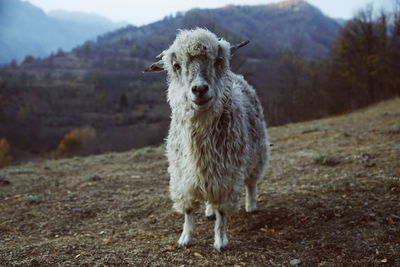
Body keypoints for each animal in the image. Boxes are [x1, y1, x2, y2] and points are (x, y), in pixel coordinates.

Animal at [145, 28, 270, 252]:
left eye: (218, 61)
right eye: (176, 66)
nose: (199, 89)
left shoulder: (226, 176)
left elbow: (223, 213)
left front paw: (221, 241)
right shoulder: (182, 176)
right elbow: (188, 211)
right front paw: (185, 238)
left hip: (258, 153)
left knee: (252, 182)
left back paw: (251, 206)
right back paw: (209, 210)